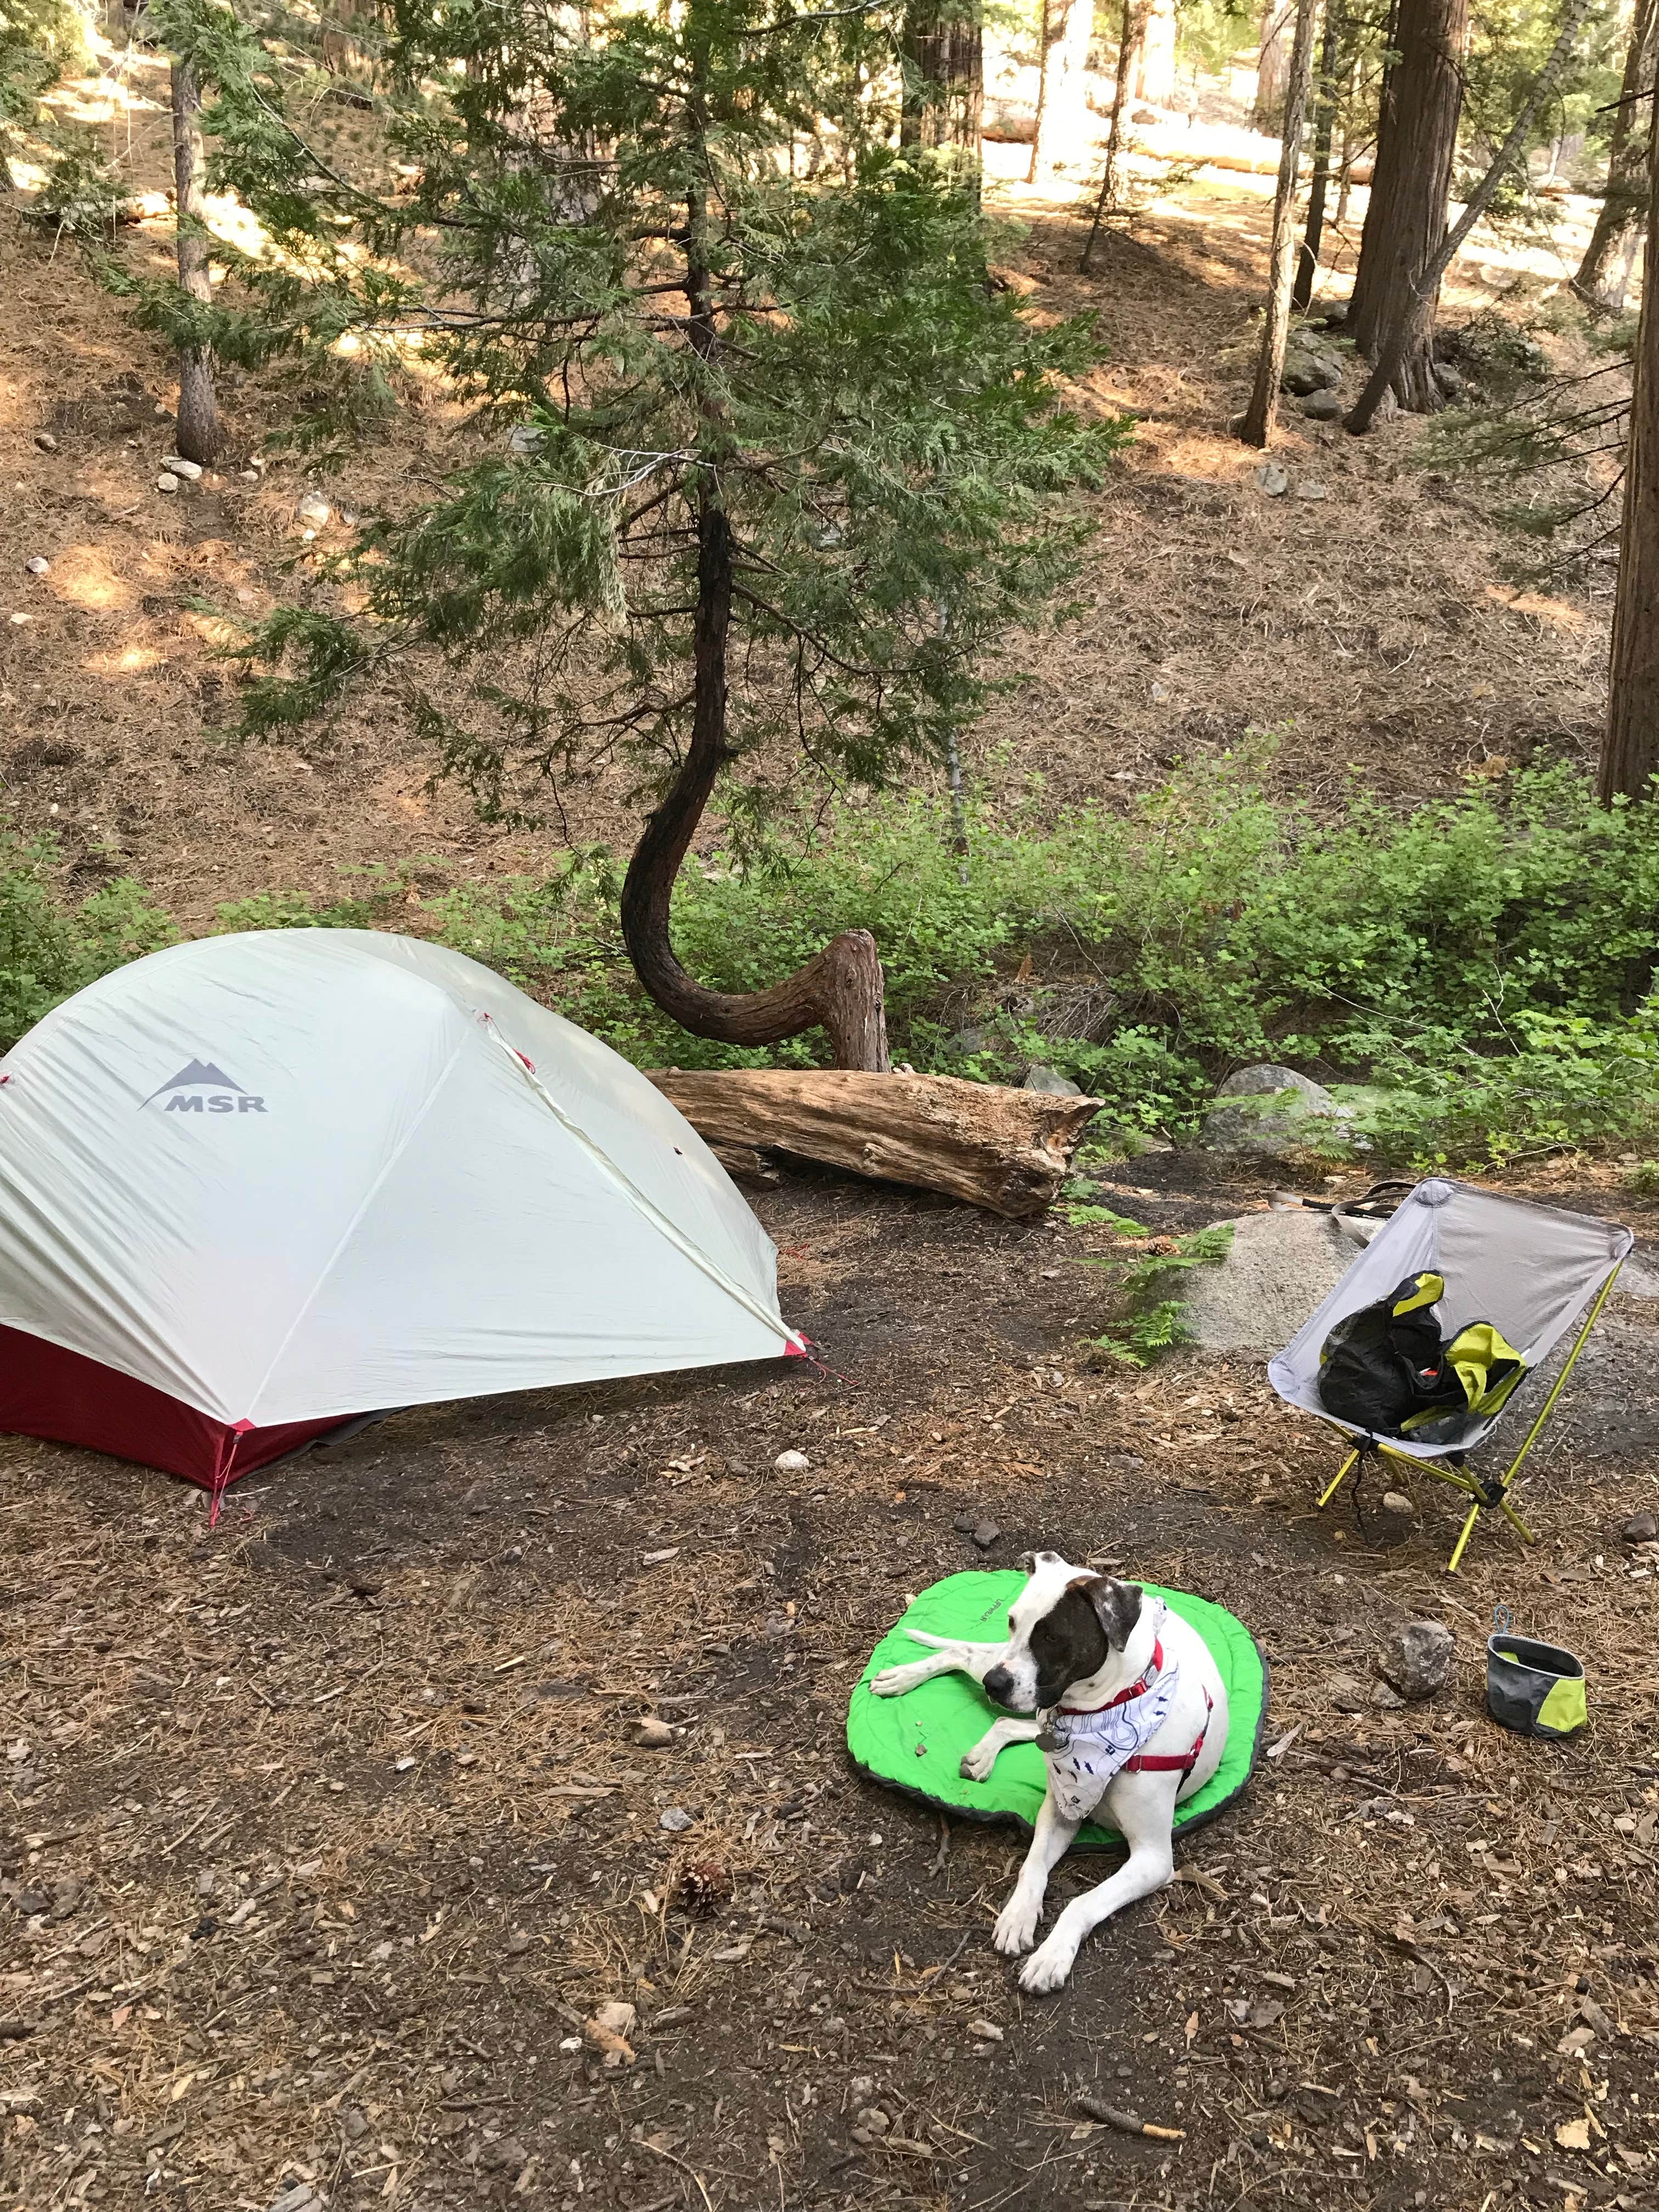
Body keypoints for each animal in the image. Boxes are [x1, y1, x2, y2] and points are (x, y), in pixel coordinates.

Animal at [876, 1548, 1229, 1999]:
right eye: (1012, 1621)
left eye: (1052, 1637)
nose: (994, 1684)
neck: (1107, 1707)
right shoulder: (1060, 1809)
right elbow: (1032, 1866)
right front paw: (1018, 1916)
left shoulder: (1153, 1858)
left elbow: (1083, 1902)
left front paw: (1050, 1956)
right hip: (1012, 1685)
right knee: (962, 1657)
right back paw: (904, 1677)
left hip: (1034, 1713)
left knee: (1007, 1720)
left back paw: (982, 1753)